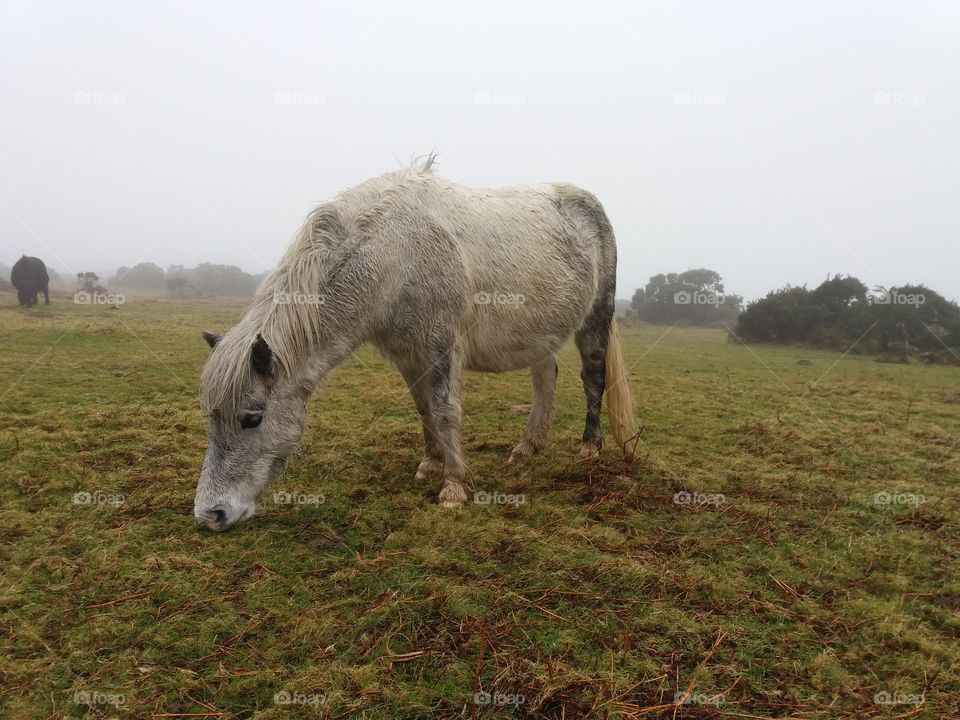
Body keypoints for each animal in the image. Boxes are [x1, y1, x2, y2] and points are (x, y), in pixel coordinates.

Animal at [193, 158, 636, 528]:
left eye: (252, 418)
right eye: (211, 416)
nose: (211, 514)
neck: (394, 253)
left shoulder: (440, 344)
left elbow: (444, 409)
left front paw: (453, 487)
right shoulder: (408, 353)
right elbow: (424, 409)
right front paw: (430, 464)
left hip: (595, 320)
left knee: (593, 377)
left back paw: (590, 449)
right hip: (538, 333)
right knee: (546, 377)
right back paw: (526, 449)